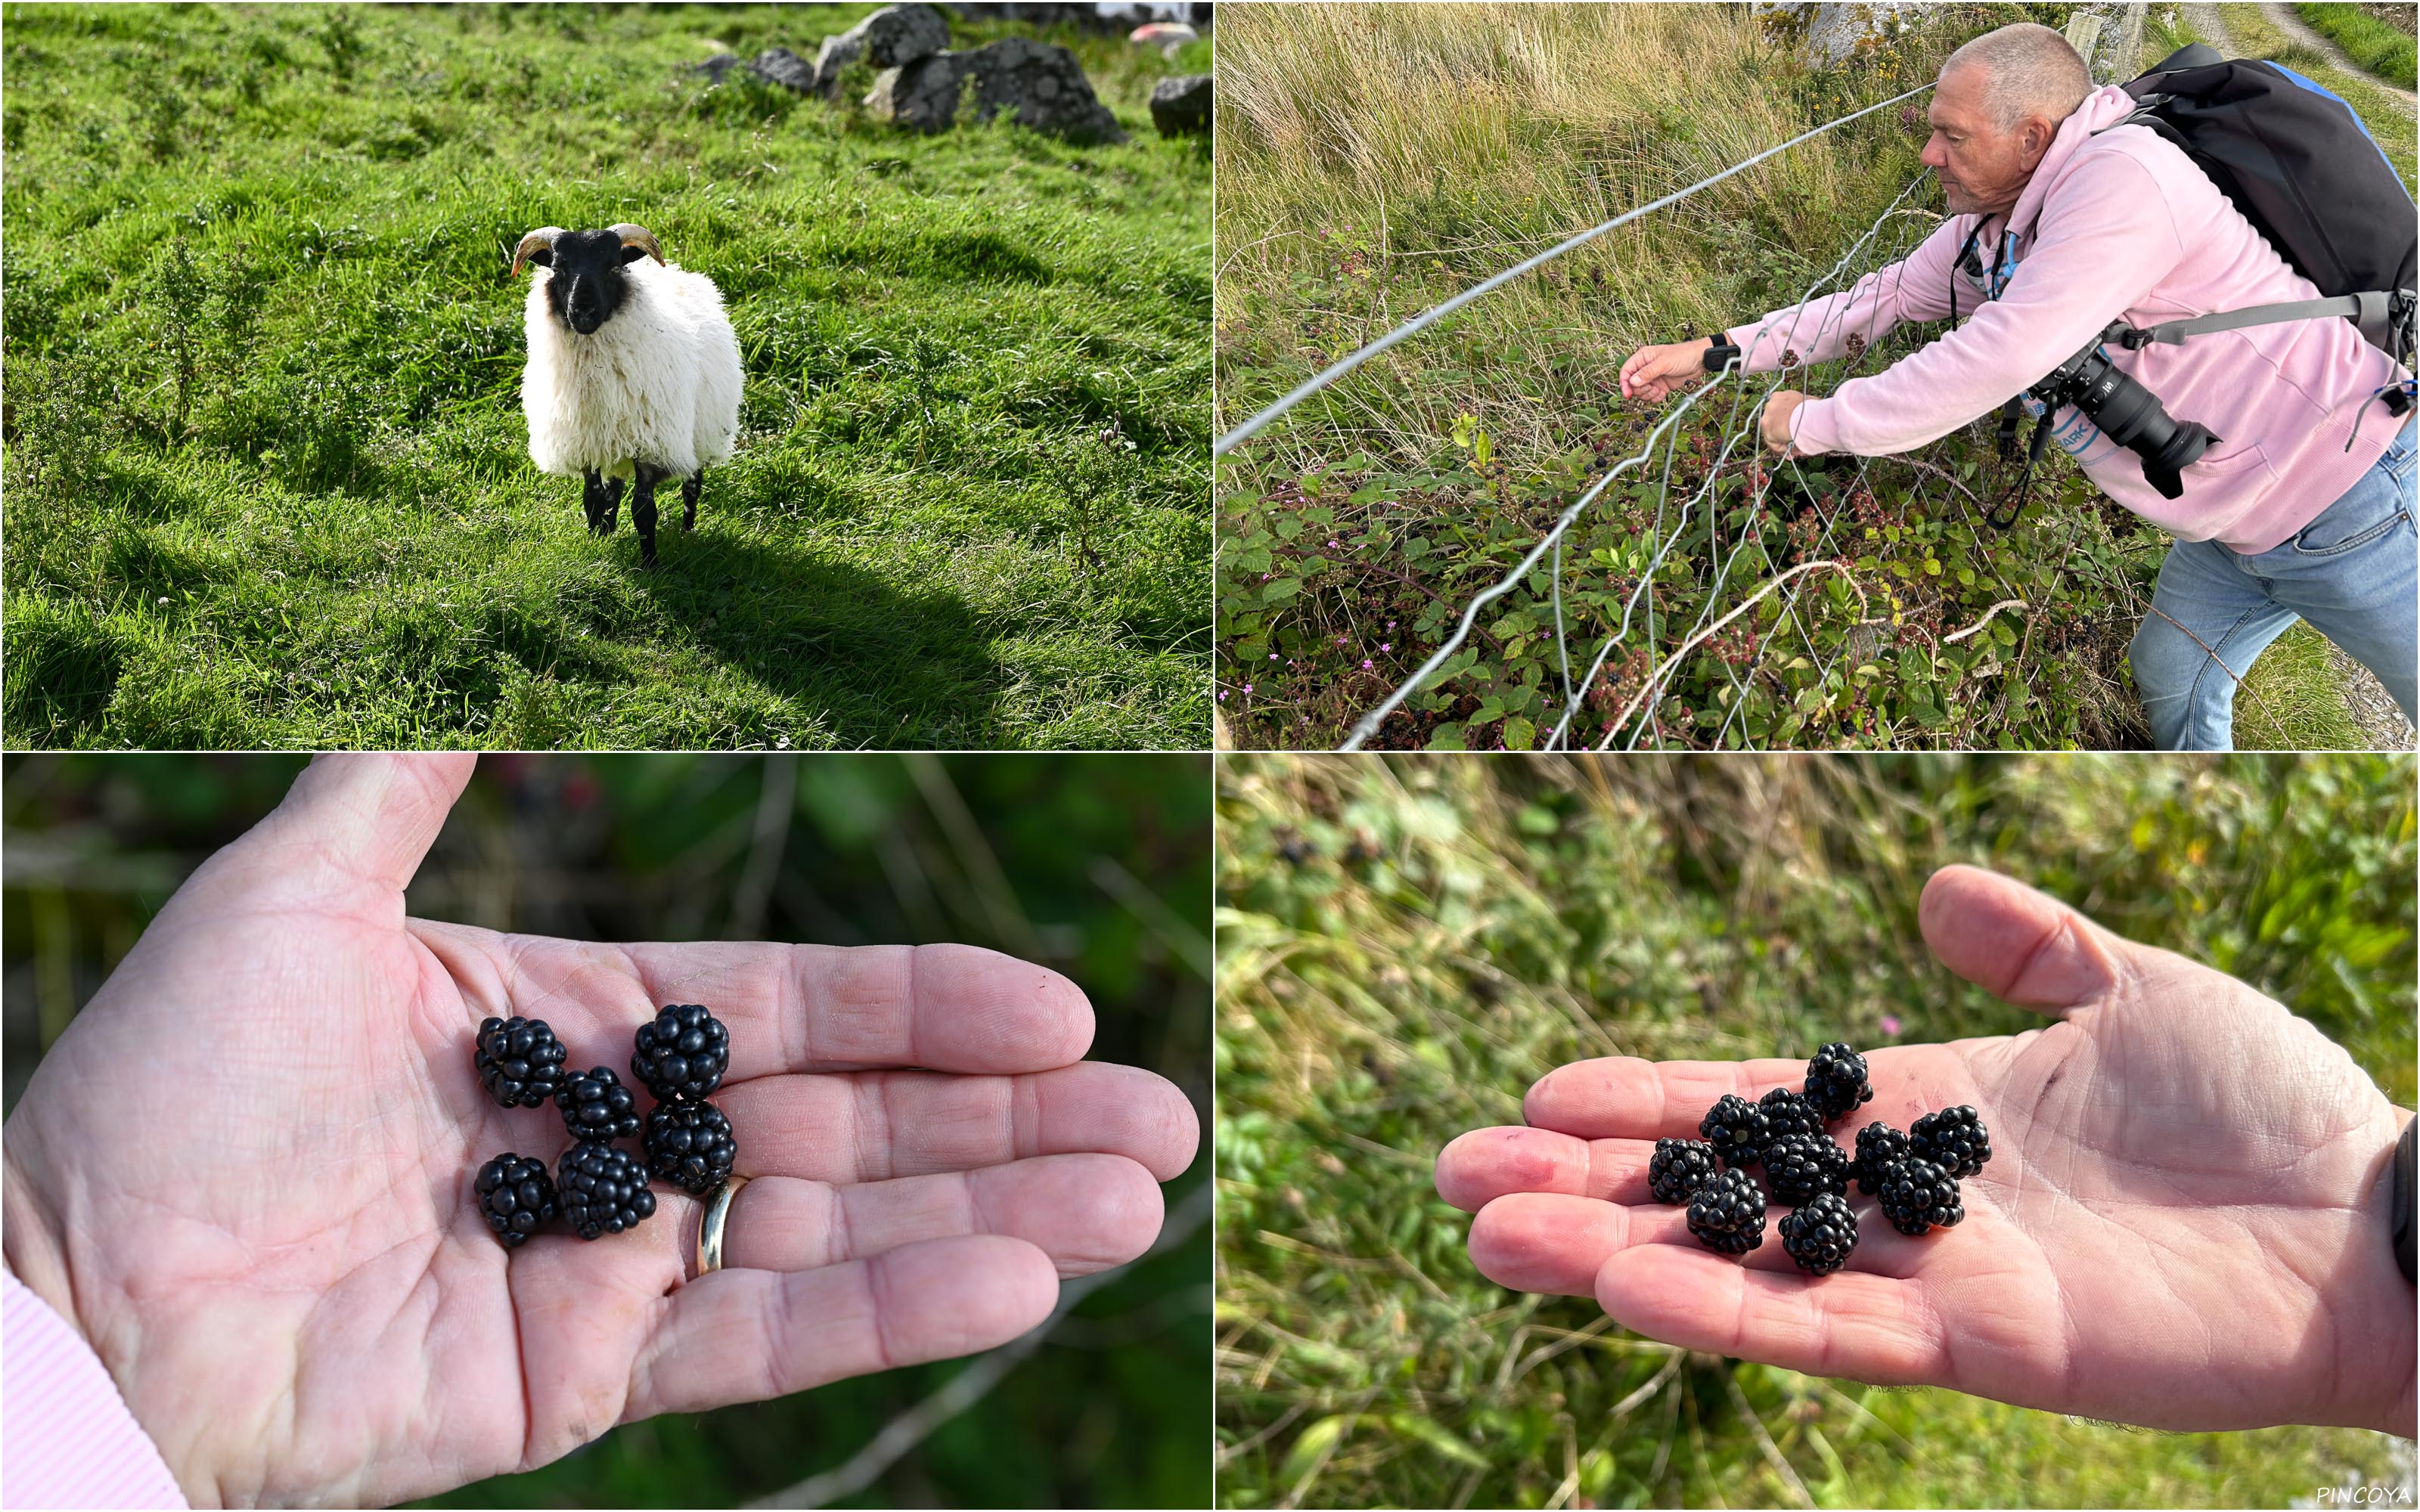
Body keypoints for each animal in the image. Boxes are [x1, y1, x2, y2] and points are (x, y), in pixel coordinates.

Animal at [510, 227, 735, 569]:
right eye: (558, 268)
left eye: (614, 267)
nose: (584, 312)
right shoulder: (587, 443)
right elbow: (592, 499)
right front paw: (595, 544)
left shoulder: (649, 446)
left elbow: (644, 511)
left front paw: (651, 565)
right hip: (616, 442)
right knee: (613, 487)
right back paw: (610, 527)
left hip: (702, 431)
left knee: (692, 484)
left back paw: (687, 531)